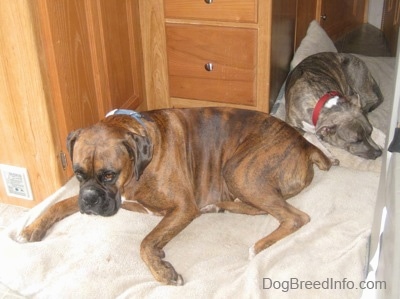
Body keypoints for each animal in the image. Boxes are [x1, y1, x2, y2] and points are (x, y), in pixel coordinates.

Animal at [18, 107, 332, 286]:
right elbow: (58, 204)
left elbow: (146, 242)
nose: (91, 200)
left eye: (109, 174)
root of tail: (305, 144)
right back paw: (219, 207)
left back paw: (259, 245)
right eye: (78, 173)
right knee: (264, 208)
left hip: (238, 170)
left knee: (294, 216)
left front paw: (163, 271)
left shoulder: (182, 208)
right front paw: (32, 228)